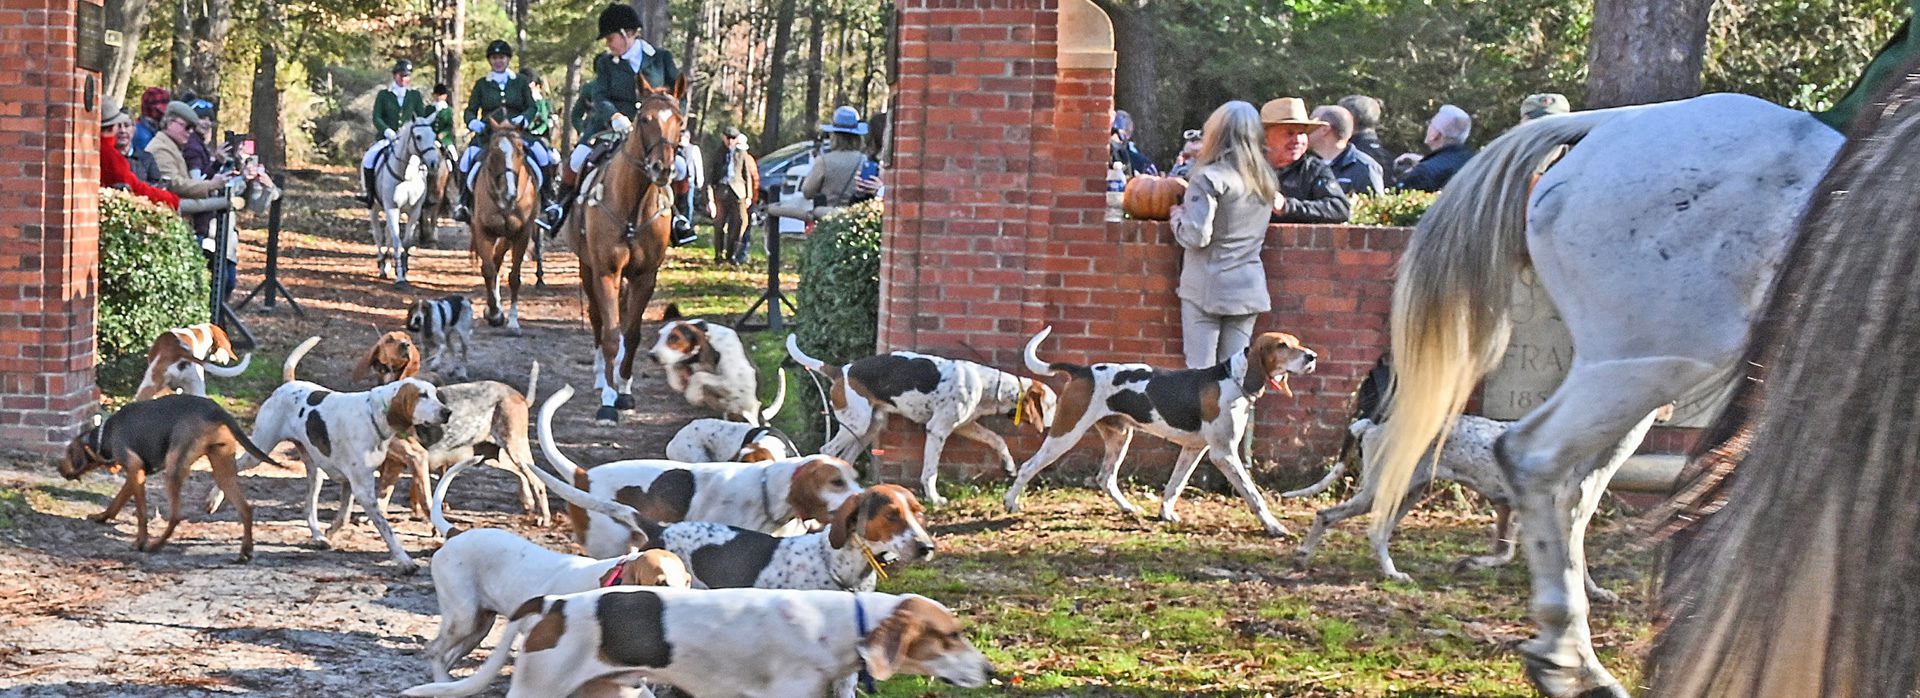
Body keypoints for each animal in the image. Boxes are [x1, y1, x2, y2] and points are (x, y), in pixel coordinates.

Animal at [370, 116, 441, 287]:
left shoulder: (414, 211)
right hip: (375, 208)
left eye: (434, 135)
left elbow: (406, 242)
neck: (406, 175)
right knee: (378, 235)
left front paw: (404, 270)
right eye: (418, 137)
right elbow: (397, 242)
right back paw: (382, 265)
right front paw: (400, 277)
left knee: (387, 233)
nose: (434, 163)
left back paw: (387, 264)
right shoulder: (392, 209)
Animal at [469, 113, 538, 336]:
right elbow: (488, 270)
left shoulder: (521, 234)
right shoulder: (483, 231)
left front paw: (513, 322)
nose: (510, 194)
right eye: (494, 151)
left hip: (508, 236)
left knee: (498, 258)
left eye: (521, 149)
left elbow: (514, 277)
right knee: (492, 263)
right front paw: (494, 314)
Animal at [562, 75, 686, 423]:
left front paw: (625, 391)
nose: (662, 169)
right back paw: (601, 376)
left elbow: (631, 334)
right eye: (644, 119)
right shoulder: (606, 272)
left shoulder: (644, 277)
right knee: (597, 320)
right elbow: (610, 334)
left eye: (680, 122)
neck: (634, 205)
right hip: (588, 270)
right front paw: (607, 400)